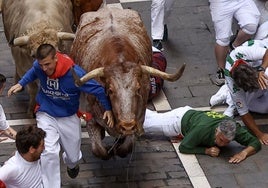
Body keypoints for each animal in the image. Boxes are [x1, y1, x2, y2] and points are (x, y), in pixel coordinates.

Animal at [70, 6, 185, 159]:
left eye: (138, 89)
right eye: (110, 90)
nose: (127, 125)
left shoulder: (139, 117)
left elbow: (126, 147)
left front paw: (118, 146)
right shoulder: (89, 117)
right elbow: (99, 150)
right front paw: (108, 150)